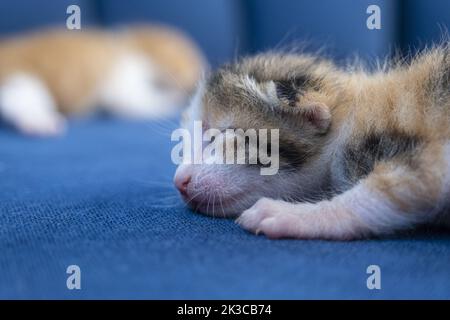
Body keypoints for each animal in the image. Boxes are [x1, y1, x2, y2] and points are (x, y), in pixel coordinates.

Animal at [0, 25, 202, 135]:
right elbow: (146, 103)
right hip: (23, 79)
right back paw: (40, 121)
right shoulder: (124, 88)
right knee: (16, 99)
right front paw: (175, 101)